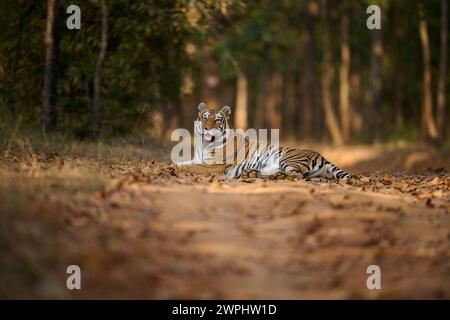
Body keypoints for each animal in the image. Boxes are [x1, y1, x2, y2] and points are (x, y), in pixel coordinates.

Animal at [174, 102, 354, 180]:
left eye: (217, 120)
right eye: (204, 118)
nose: (206, 128)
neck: (205, 145)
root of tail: (322, 156)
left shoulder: (212, 166)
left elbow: (187, 166)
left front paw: (172, 168)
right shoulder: (198, 159)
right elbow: (184, 162)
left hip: (289, 160)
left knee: (295, 176)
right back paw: (250, 173)